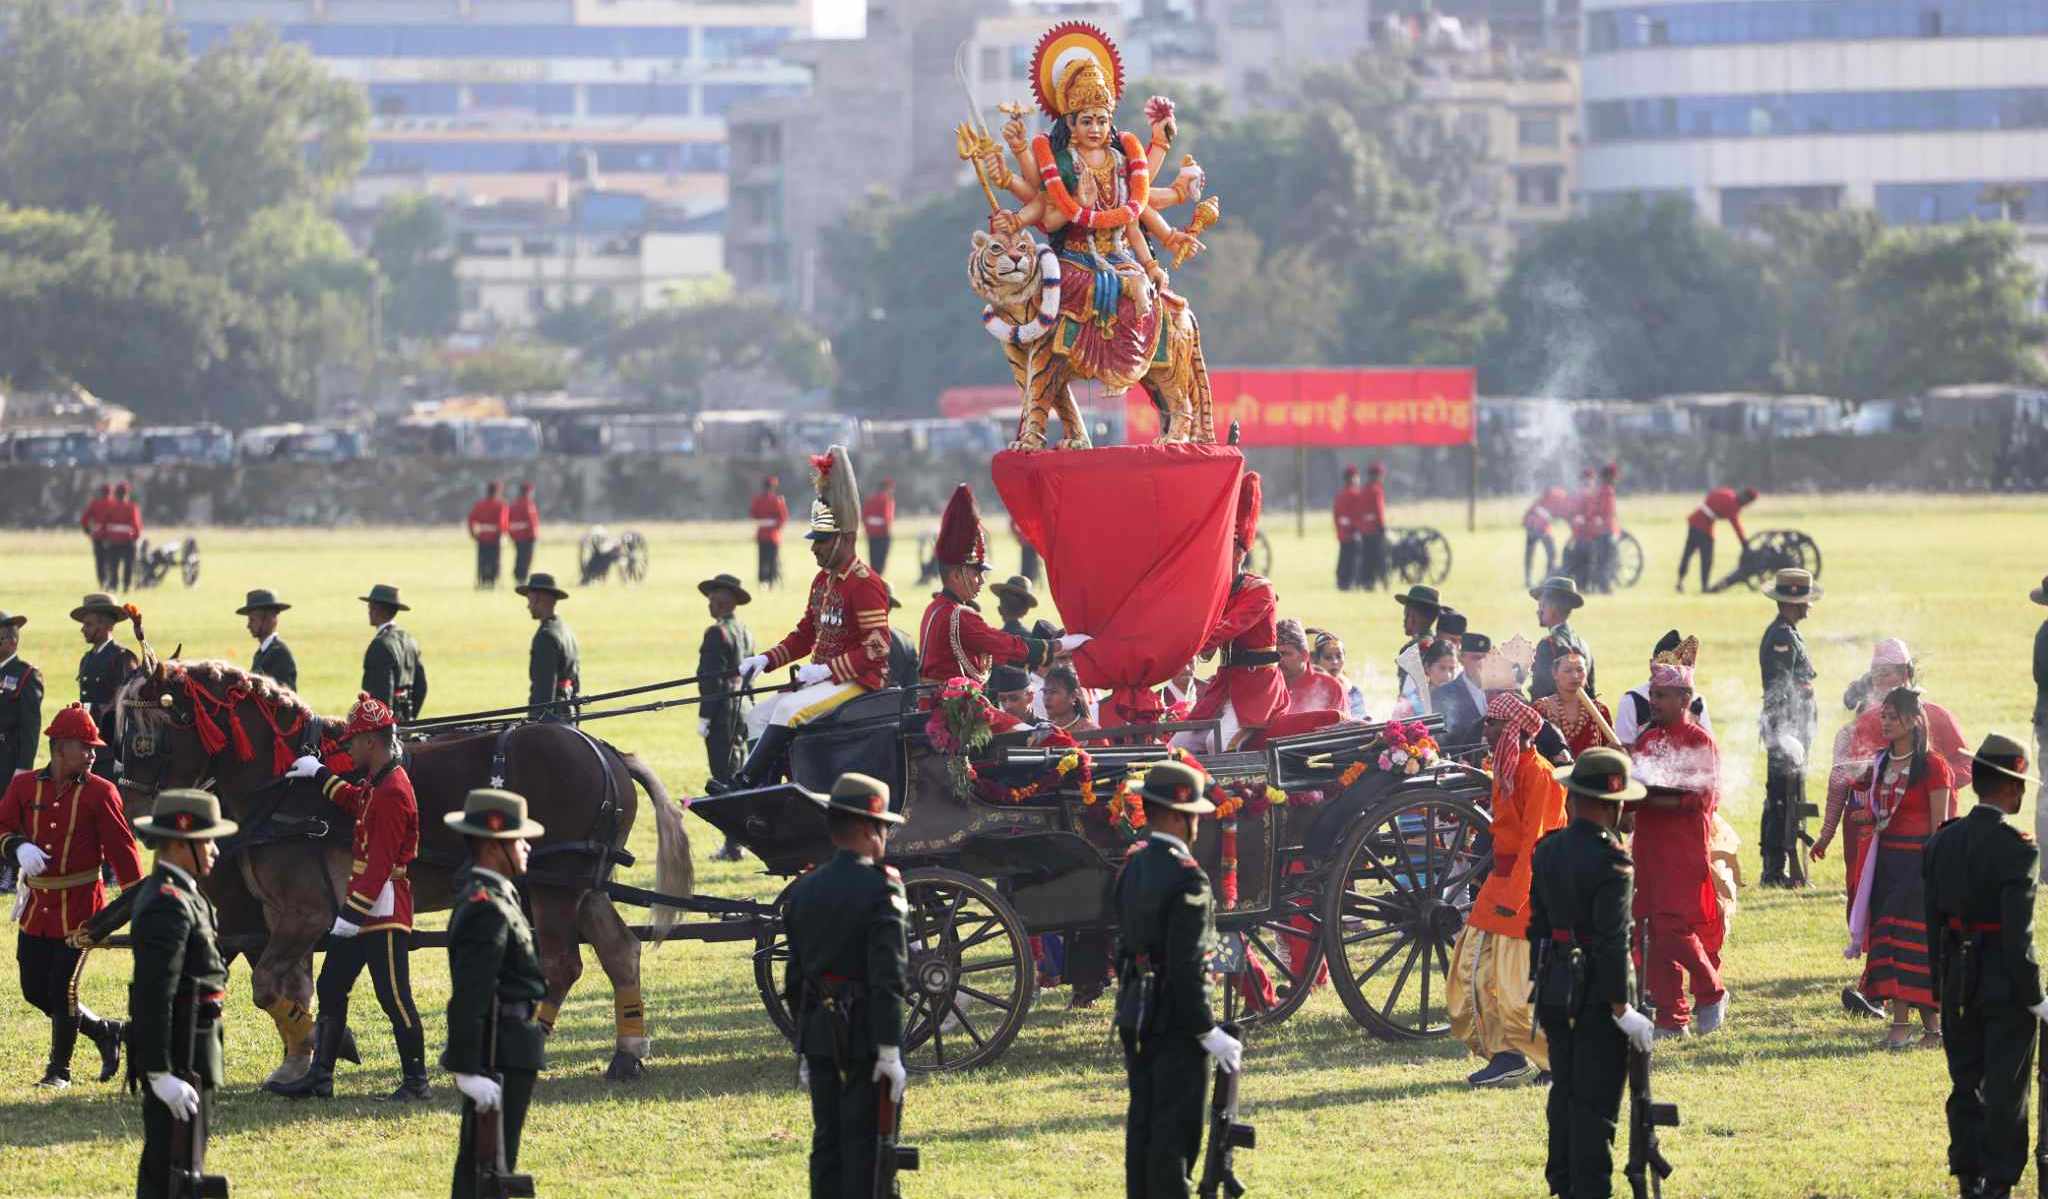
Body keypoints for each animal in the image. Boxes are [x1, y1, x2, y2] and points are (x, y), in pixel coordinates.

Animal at [116, 659, 692, 1082]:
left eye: (145, 737)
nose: (133, 813)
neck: (284, 784)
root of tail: (605, 750)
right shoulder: (281, 914)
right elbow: (291, 986)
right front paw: (300, 1059)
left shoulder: (305, 912)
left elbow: (265, 983)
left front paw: (312, 1052)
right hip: (579, 883)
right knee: (619, 950)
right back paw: (627, 1051)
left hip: (554, 887)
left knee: (562, 964)